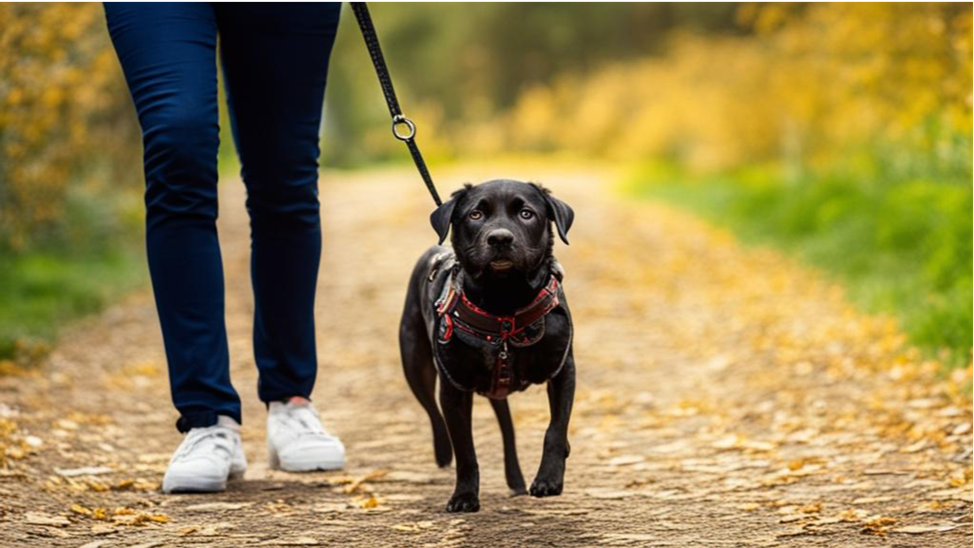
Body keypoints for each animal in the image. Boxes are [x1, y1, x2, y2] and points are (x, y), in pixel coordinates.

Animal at [398, 178, 576, 512]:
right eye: (476, 214)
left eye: (526, 213)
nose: (500, 238)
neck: (504, 302)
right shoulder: (453, 387)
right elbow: (465, 449)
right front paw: (464, 496)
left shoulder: (563, 370)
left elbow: (556, 428)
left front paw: (549, 478)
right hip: (415, 364)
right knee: (432, 412)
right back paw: (443, 453)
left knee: (508, 430)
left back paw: (516, 481)